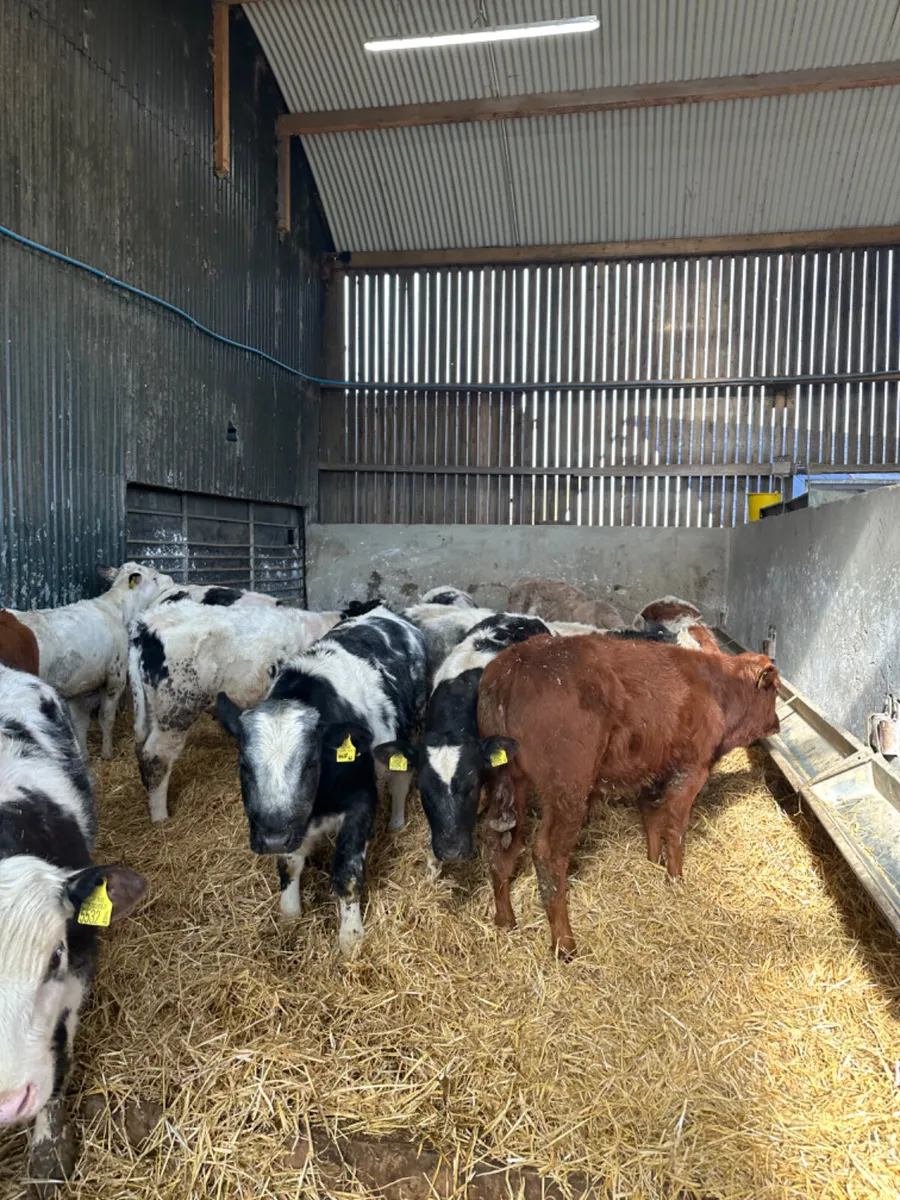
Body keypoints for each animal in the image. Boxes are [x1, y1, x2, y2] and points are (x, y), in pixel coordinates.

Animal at [11, 563, 174, 759]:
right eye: (155, 577)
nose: (171, 579)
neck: (118, 611)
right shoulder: (115, 679)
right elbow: (106, 718)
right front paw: (107, 752)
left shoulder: (77, 687)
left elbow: (80, 724)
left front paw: (84, 754)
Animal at [216, 605, 427, 955]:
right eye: (244, 765)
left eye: (311, 762)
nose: (272, 839)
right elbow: (289, 865)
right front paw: (289, 914)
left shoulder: (360, 804)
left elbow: (347, 872)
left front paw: (351, 936)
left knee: (400, 776)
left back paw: (396, 821)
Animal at [478, 634, 780, 956]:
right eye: (773, 690)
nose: (776, 723)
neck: (716, 688)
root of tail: (518, 661)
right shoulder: (690, 772)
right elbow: (675, 829)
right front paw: (675, 878)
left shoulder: (652, 774)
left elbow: (652, 819)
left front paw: (652, 862)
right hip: (567, 791)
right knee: (547, 855)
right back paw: (565, 944)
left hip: (508, 787)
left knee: (499, 845)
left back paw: (505, 921)